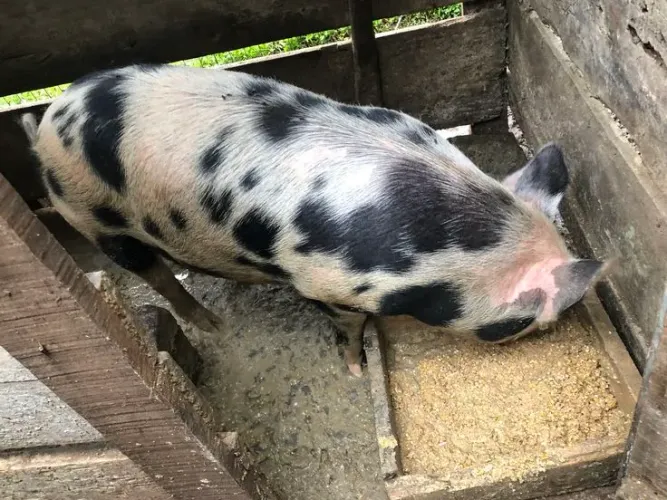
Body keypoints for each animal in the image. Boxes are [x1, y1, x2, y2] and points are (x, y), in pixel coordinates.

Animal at [19, 63, 609, 377]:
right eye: (521, 320)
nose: (548, 330)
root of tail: (47, 119)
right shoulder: (326, 283)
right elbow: (348, 328)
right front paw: (355, 367)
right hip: (95, 217)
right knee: (155, 274)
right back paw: (213, 326)